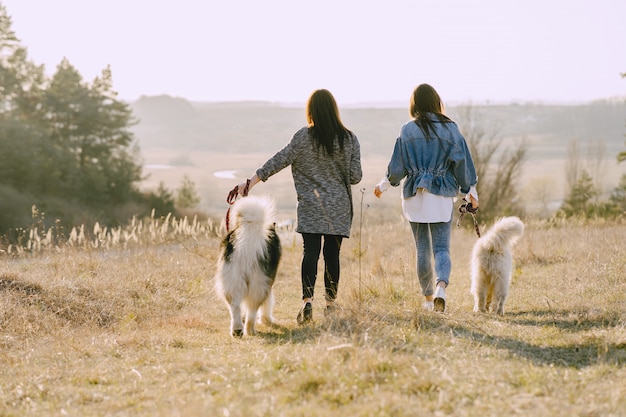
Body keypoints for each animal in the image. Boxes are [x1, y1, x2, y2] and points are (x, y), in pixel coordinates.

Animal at [216, 195, 282, 334]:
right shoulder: (269, 283)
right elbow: (268, 302)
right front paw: (267, 320)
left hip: (233, 279)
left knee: (235, 306)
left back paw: (237, 330)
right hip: (258, 282)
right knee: (252, 308)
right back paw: (250, 330)